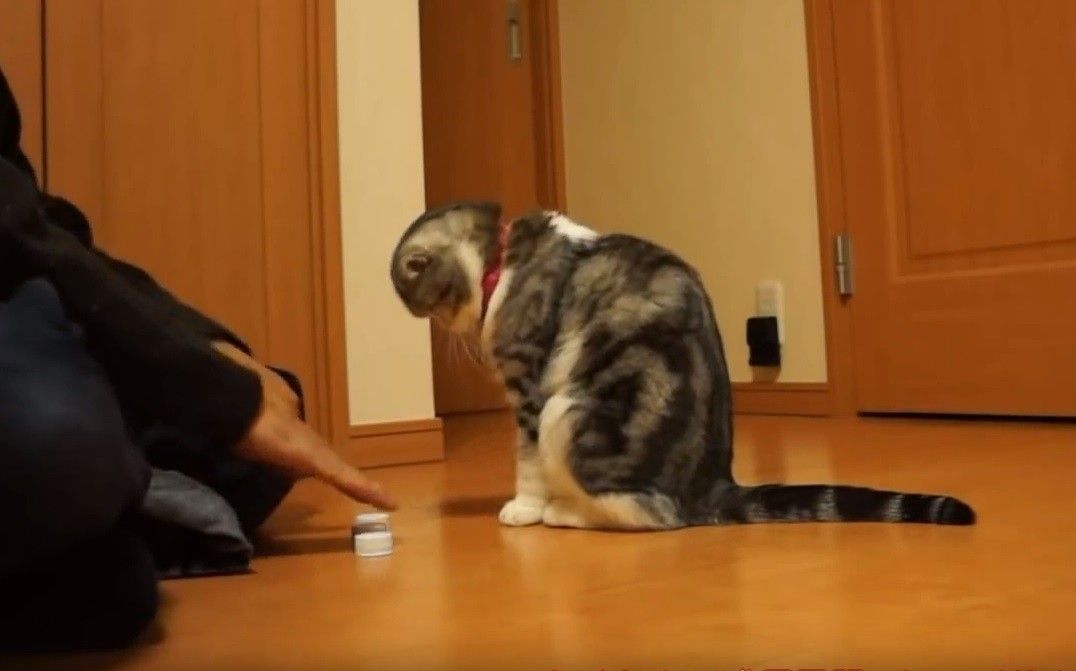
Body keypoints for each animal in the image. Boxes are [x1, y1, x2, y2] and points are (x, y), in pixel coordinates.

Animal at [390, 202, 975, 530]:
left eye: (420, 300)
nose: (429, 326)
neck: (503, 259)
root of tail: (711, 484)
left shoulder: (529, 386)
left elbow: (525, 459)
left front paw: (523, 508)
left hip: (571, 410)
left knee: (651, 517)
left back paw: (564, 514)